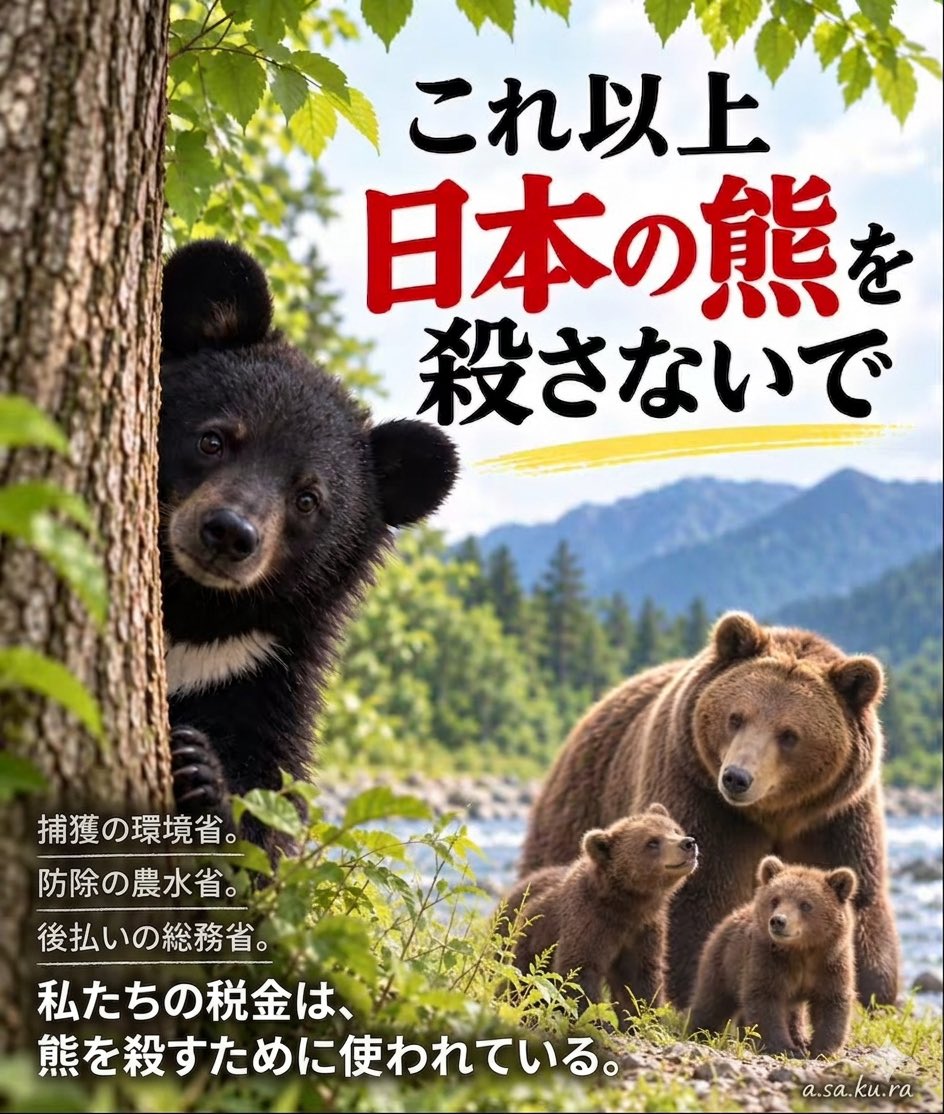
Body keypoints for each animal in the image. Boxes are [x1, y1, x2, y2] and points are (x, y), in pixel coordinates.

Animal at [159, 240, 458, 851]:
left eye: (307, 499)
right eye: (213, 440)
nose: (230, 533)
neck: (196, 618)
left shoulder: (264, 674)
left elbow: (272, 809)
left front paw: (201, 773)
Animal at [499, 804, 698, 1025]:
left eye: (675, 830)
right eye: (652, 842)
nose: (688, 843)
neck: (627, 904)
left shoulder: (644, 930)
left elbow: (639, 980)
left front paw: (643, 1019)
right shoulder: (589, 921)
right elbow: (579, 971)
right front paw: (597, 1021)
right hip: (527, 941)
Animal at [520, 611, 899, 1008]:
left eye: (789, 734)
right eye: (736, 717)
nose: (736, 777)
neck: (777, 813)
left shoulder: (835, 818)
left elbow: (858, 895)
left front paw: (871, 993)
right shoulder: (701, 795)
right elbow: (700, 895)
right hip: (586, 800)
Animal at [688, 855, 857, 1058]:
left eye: (805, 904)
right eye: (775, 899)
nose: (778, 921)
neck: (801, 951)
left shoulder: (830, 962)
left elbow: (831, 1001)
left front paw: (821, 1048)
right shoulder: (767, 959)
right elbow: (765, 999)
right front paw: (784, 1048)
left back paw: (798, 1038)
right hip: (723, 961)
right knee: (713, 1000)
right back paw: (700, 1033)